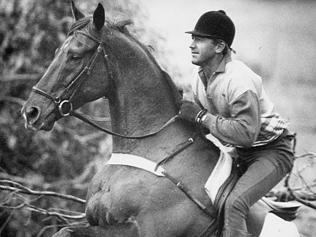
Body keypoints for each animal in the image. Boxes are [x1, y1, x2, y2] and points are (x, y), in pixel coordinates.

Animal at [21, 2, 302, 237]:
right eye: (57, 51)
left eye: (75, 55)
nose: (31, 112)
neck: (151, 147)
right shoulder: (93, 221)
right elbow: (62, 231)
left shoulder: (140, 230)